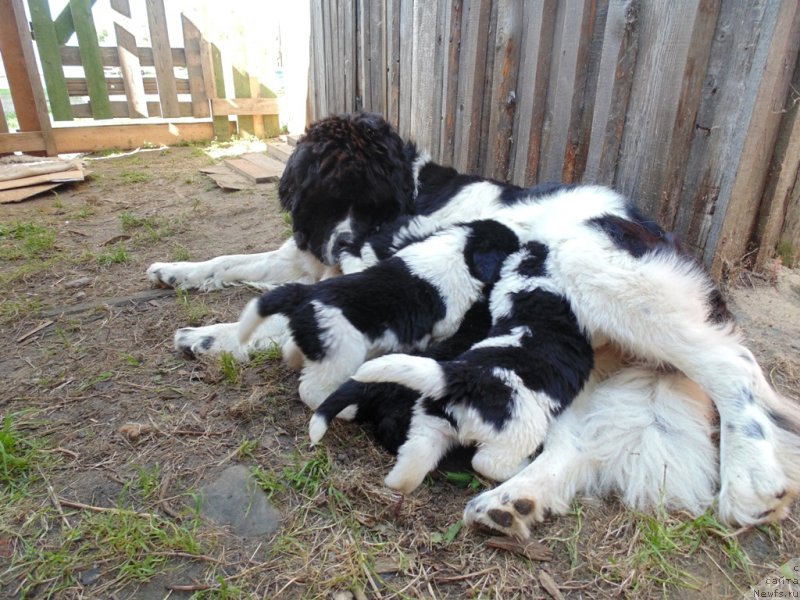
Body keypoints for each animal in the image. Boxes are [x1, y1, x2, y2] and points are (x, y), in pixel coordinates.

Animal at [233, 219, 520, 408]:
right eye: (511, 246)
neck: (461, 247)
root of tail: (306, 294)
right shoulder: (444, 325)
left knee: (293, 351)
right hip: (341, 355)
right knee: (311, 391)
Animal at [310, 239, 592, 492]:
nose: (533, 243)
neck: (531, 307)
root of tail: (459, 377)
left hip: (431, 424)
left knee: (413, 461)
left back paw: (397, 484)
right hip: (518, 431)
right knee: (485, 462)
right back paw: (519, 467)